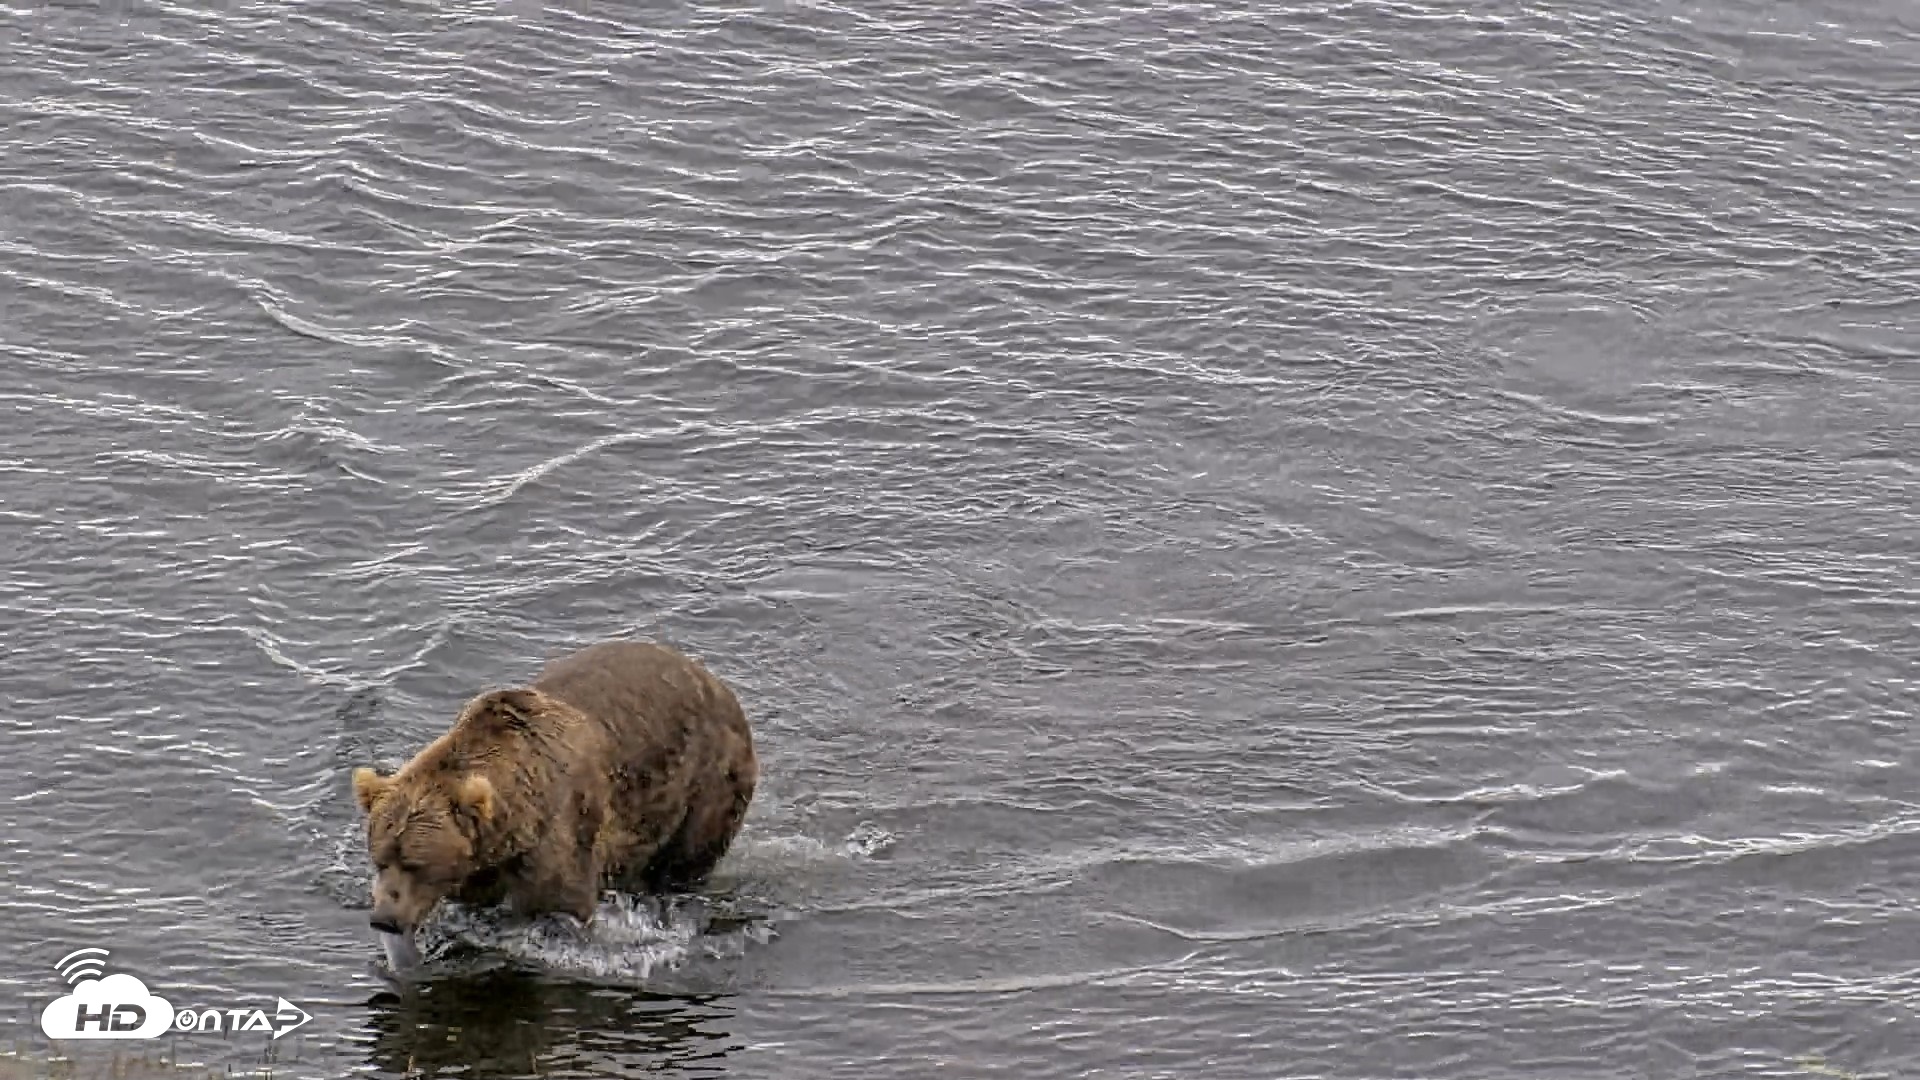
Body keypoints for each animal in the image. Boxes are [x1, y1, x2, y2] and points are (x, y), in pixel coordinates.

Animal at [349, 639, 758, 971]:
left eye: (416, 864)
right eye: (380, 859)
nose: (384, 918)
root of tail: (714, 680)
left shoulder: (560, 835)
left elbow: (560, 905)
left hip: (709, 780)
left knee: (685, 859)